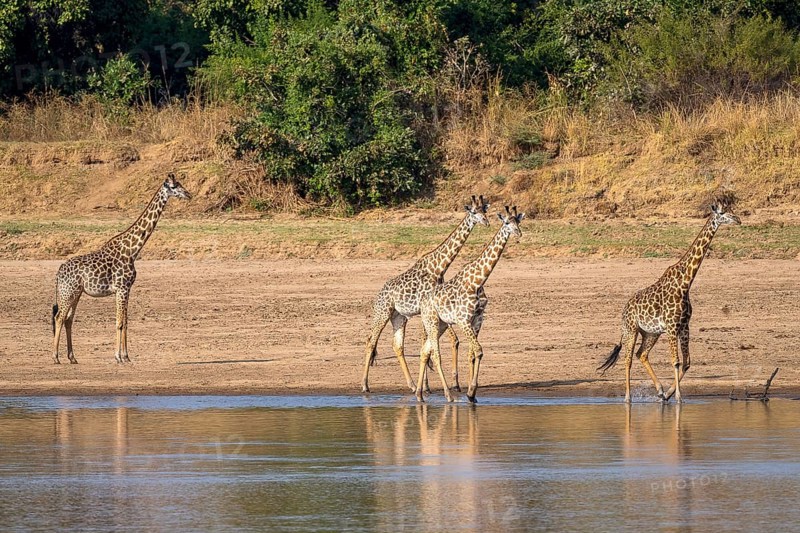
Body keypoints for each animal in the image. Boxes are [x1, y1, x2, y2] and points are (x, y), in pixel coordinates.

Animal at [51, 173, 191, 364]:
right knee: (59, 317)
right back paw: (55, 357)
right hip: (68, 292)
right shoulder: (122, 288)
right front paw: (118, 356)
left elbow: (125, 322)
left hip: (76, 293)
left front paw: (126, 356)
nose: (189, 194)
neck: (132, 250)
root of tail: (58, 273)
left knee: (68, 319)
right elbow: (119, 323)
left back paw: (72, 358)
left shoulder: (126, 289)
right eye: (175, 186)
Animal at [361, 195, 491, 394]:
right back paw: (365, 385)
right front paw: (432, 385)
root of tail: (379, 294)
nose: (486, 221)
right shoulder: (428, 307)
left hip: (399, 316)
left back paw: (412, 385)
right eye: (474, 212)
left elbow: (434, 341)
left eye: (484, 210)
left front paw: (429, 385)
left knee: (397, 346)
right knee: (371, 341)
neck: (438, 266)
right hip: (382, 312)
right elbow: (435, 341)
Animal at [417, 206, 526, 403]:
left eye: (518, 221)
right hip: (433, 322)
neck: (477, 282)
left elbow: (474, 353)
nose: (518, 233)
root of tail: (422, 302)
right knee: (435, 354)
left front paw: (472, 394)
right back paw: (447, 395)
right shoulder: (463, 320)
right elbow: (479, 350)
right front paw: (470, 392)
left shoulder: (477, 321)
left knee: (425, 351)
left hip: (441, 324)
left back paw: (420, 394)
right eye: (507, 222)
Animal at [597, 201, 741, 403]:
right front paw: (678, 398)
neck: (685, 283)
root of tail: (624, 309)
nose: (738, 219)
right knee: (628, 360)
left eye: (731, 209)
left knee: (641, 354)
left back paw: (659, 390)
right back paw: (627, 397)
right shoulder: (672, 328)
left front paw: (669, 393)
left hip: (651, 333)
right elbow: (676, 361)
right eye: (723, 213)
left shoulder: (684, 326)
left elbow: (686, 362)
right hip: (631, 330)